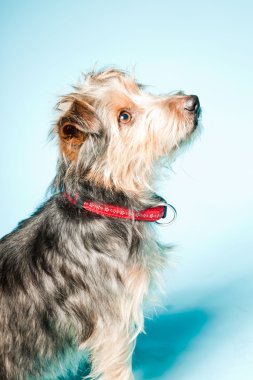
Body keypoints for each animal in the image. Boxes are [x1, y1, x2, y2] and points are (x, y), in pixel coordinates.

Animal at [0, 69, 200, 380]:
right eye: (124, 116)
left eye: (140, 91)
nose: (193, 101)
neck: (104, 204)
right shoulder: (113, 324)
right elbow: (117, 369)